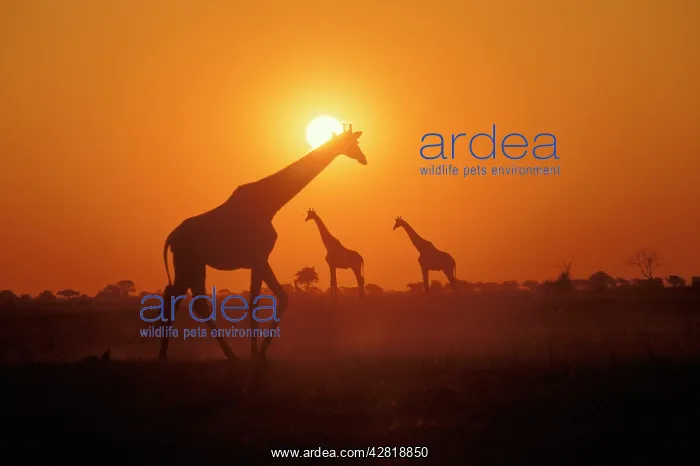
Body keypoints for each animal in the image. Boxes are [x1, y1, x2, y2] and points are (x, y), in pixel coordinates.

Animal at [159, 125, 367, 360]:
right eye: (354, 143)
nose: (364, 158)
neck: (271, 203)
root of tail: (171, 237)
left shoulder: (261, 260)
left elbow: (281, 298)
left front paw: (261, 351)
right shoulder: (258, 258)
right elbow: (255, 302)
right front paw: (255, 352)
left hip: (194, 264)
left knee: (189, 300)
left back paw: (221, 355)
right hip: (187, 262)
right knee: (181, 298)